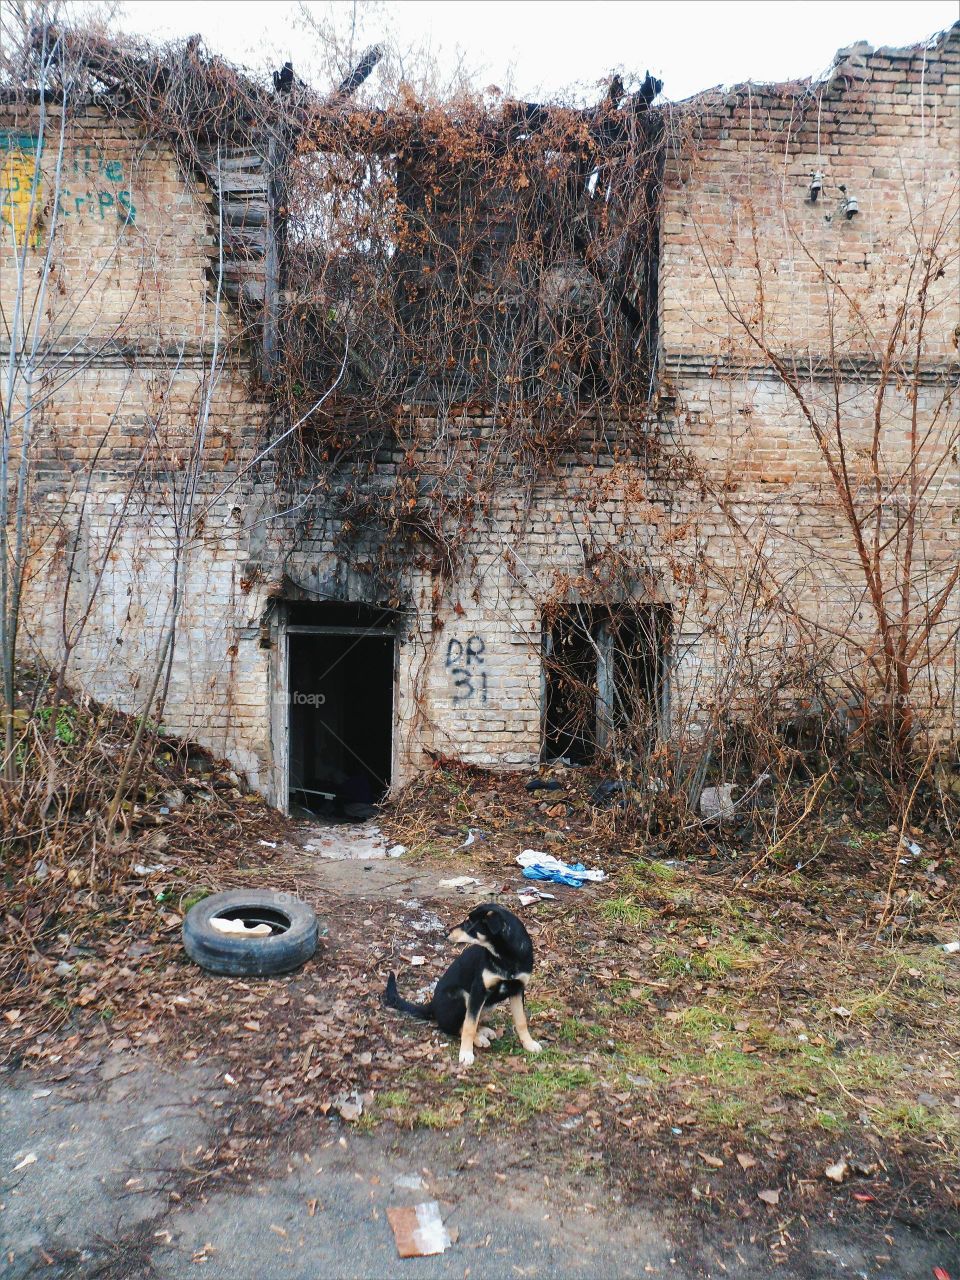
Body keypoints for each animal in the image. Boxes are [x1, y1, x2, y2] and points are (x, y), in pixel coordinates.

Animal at [386, 906, 545, 1064]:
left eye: (469, 923)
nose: (446, 932)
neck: (505, 957)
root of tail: (432, 1006)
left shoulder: (517, 989)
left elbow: (521, 1021)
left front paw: (529, 1044)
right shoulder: (478, 991)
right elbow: (469, 1026)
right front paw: (466, 1053)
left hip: (489, 1004)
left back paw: (483, 1031)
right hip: (461, 995)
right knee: (453, 1026)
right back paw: (478, 1038)